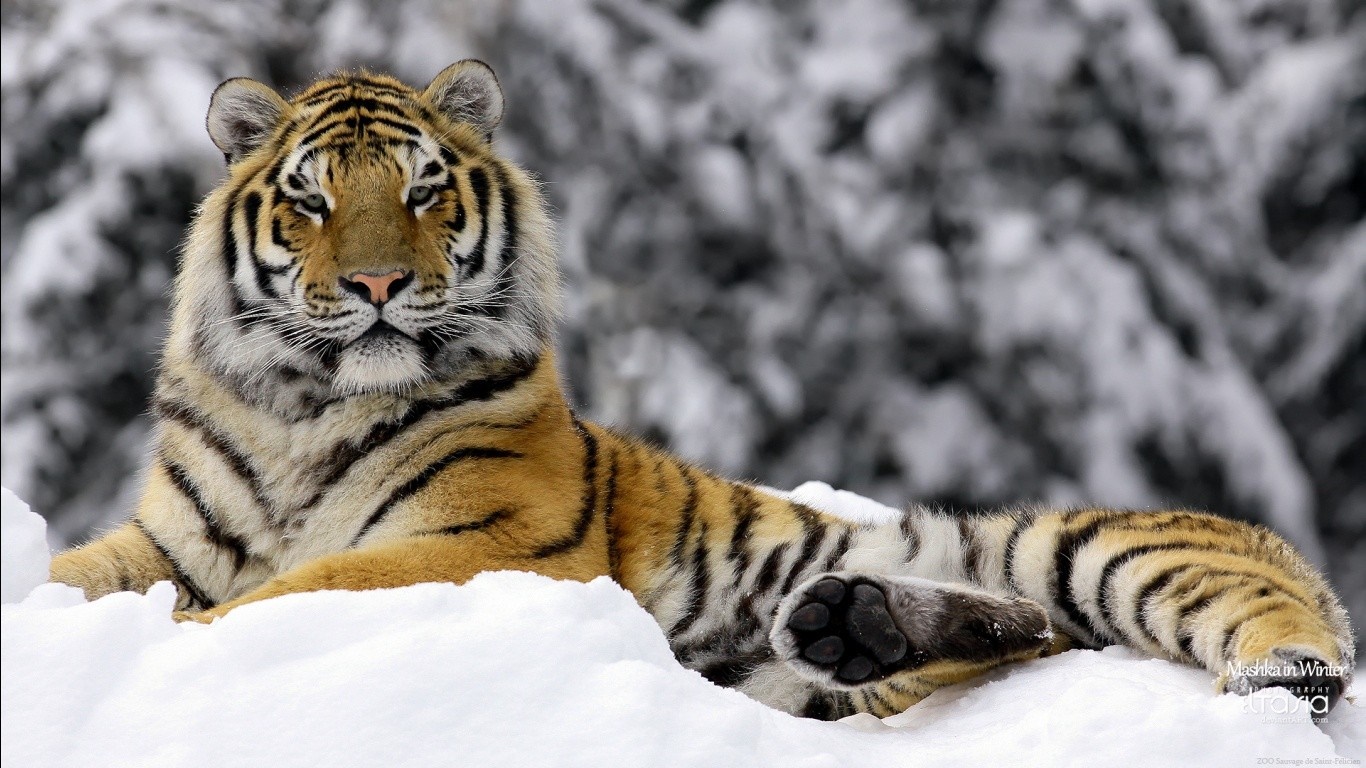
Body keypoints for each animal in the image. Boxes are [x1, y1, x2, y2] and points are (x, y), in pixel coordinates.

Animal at [49, 60, 1354, 722]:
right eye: (312, 200)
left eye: (422, 190)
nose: (376, 283)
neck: (302, 410)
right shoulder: (169, 540)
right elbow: (76, 577)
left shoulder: (485, 538)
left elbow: (293, 594)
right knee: (1000, 641)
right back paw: (860, 625)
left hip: (1085, 547)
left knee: (1232, 615)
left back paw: (1281, 673)